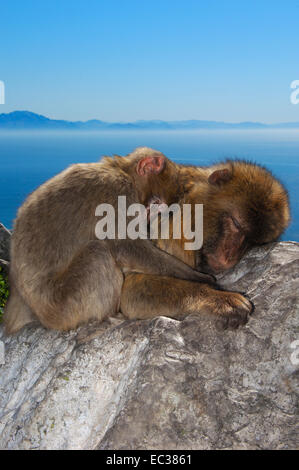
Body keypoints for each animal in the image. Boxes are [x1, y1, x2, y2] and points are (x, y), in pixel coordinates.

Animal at [120, 158, 292, 326]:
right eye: (236, 224)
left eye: (253, 242)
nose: (229, 255)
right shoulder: (176, 228)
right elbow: (132, 289)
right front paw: (218, 298)